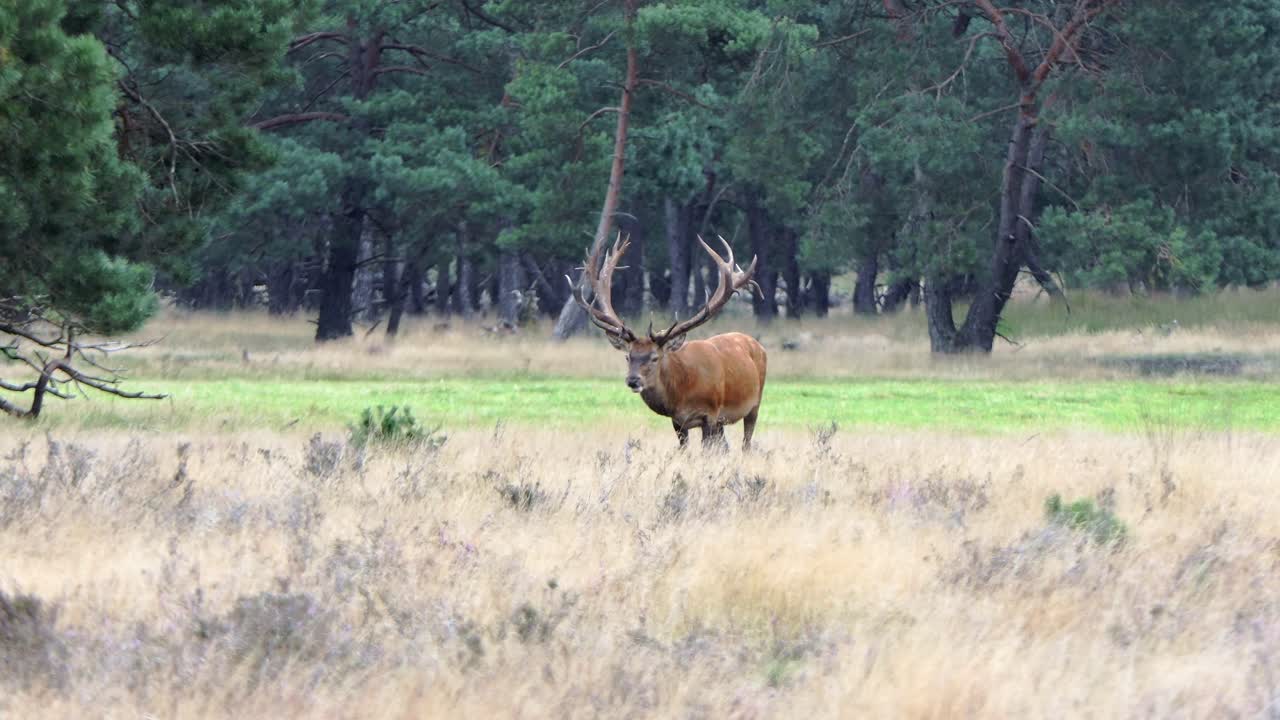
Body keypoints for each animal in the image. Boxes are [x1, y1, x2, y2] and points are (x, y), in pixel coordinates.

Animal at [574, 233, 767, 451]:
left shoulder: (711, 414)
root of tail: (757, 344)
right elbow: (685, 450)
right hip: (723, 421)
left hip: (754, 403)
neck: (682, 394)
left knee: (746, 442)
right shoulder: (678, 422)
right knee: (726, 447)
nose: (633, 380)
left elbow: (707, 451)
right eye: (628, 356)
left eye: (654, 357)